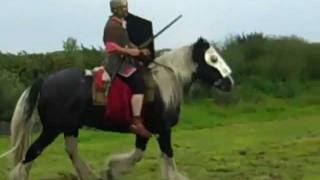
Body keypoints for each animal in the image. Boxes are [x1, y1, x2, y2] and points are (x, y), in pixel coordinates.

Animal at [1, 37, 234, 179]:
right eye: (213, 58)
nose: (230, 82)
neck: (163, 83)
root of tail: (46, 80)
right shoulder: (163, 130)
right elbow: (168, 156)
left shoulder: (146, 131)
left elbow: (138, 154)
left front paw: (111, 169)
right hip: (52, 129)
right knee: (32, 153)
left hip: (69, 127)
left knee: (71, 151)